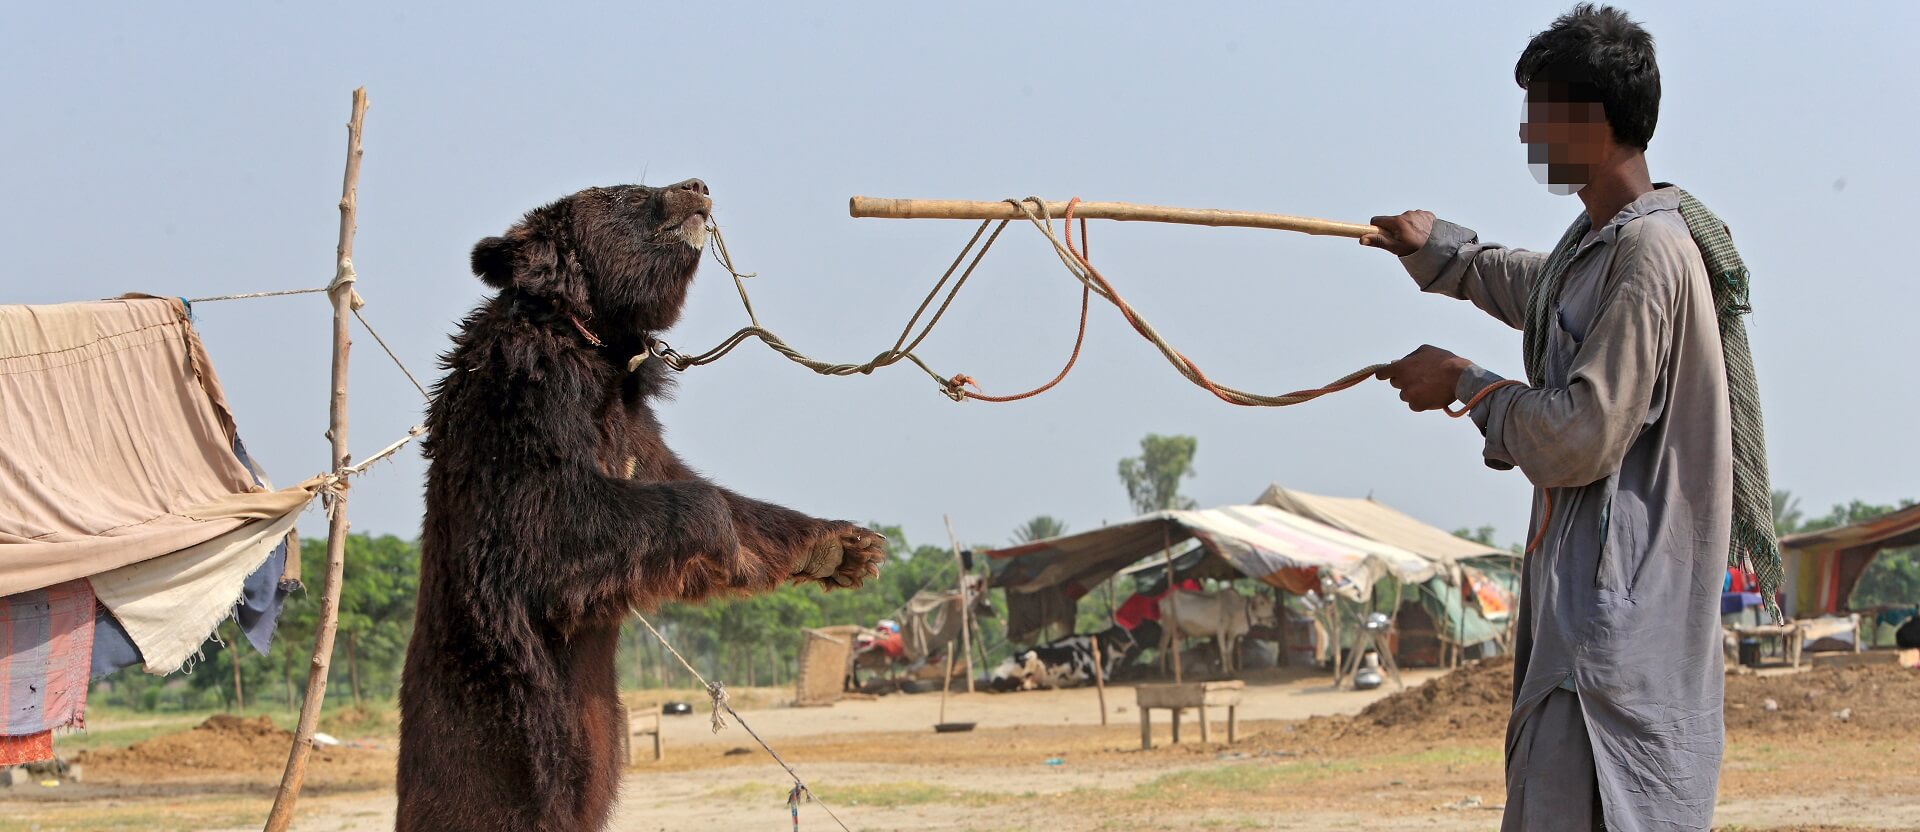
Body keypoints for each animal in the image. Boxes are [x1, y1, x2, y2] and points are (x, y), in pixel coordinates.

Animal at [399, 179, 890, 830]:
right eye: (626, 196)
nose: (698, 187)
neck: (601, 345)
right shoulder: (526, 405)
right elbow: (554, 526)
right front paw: (724, 537)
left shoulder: (636, 425)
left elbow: (688, 484)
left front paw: (844, 547)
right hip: (499, 759)